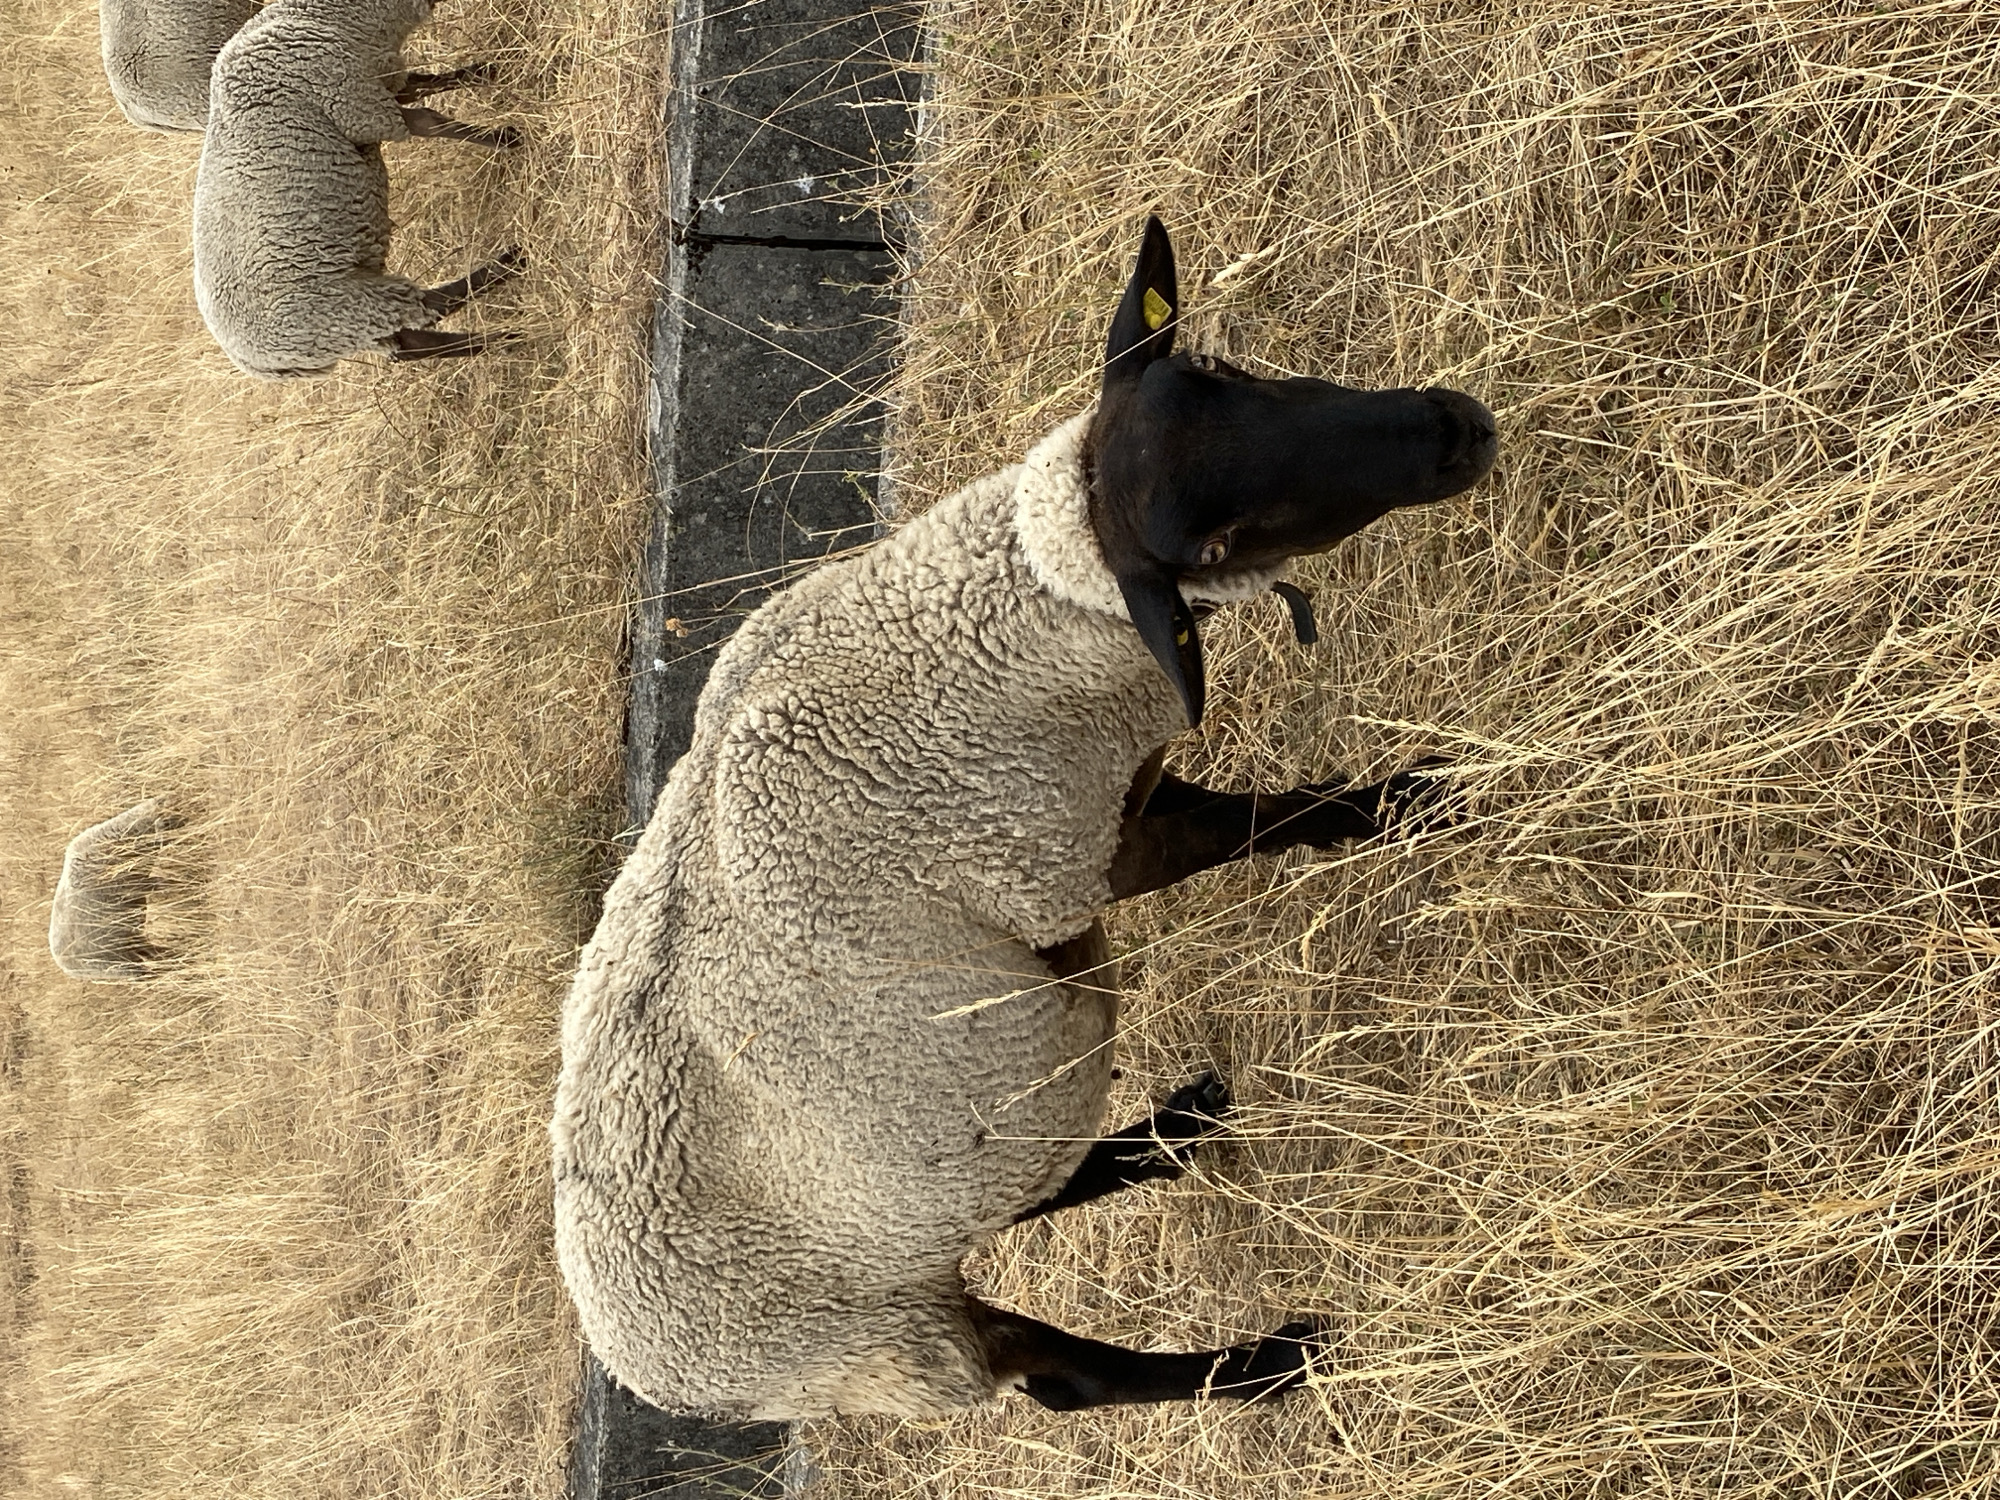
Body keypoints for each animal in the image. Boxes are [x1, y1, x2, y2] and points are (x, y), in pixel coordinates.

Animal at [192, 0, 520, 378]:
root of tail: (256, 365)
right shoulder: (361, 106)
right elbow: (430, 120)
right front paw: (505, 140)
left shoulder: (377, 81)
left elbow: (428, 83)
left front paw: (488, 70)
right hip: (347, 309)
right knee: (426, 311)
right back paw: (509, 274)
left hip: (348, 320)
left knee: (409, 344)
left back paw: (501, 334)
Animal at [550, 218, 1501, 1420]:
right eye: (1220, 541)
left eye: (1222, 369)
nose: (1456, 430)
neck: (1014, 620)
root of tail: (637, 1363)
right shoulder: (1071, 856)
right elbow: (1262, 825)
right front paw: (1417, 801)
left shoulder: (1119, 789)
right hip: (885, 1341)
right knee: (1064, 1378)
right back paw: (1262, 1363)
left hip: (928, 1225)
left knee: (1033, 1186)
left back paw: (1171, 1137)